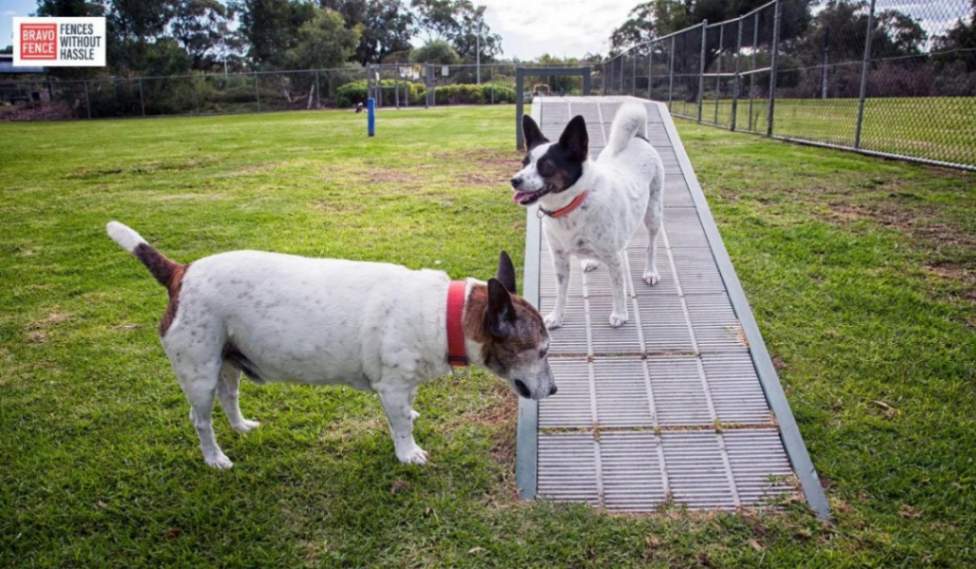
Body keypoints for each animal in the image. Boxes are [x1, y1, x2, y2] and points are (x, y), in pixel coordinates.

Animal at [107, 220, 556, 468]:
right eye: (542, 351)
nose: (553, 390)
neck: (446, 314)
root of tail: (180, 273)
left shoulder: (403, 383)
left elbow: (407, 409)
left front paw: (411, 419)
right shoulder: (392, 386)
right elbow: (399, 424)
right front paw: (407, 451)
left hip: (227, 361)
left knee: (228, 397)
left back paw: (240, 426)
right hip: (198, 373)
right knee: (200, 419)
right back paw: (214, 457)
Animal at [510, 102, 664, 328]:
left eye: (546, 166)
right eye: (523, 163)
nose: (514, 180)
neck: (572, 205)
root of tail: (639, 138)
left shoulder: (613, 257)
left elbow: (618, 288)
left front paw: (620, 314)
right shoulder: (559, 258)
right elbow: (561, 292)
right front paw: (557, 316)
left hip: (653, 213)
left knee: (652, 245)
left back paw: (651, 271)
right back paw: (591, 261)